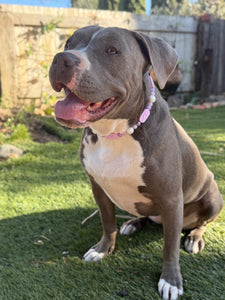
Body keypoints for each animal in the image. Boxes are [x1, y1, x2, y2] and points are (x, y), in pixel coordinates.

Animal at [49, 26, 223, 300]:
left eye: (112, 50)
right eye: (69, 43)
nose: (61, 59)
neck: (116, 133)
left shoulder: (172, 199)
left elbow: (170, 246)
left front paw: (171, 280)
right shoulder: (98, 188)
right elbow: (107, 222)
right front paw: (102, 249)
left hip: (213, 197)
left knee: (202, 223)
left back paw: (194, 237)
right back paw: (133, 223)